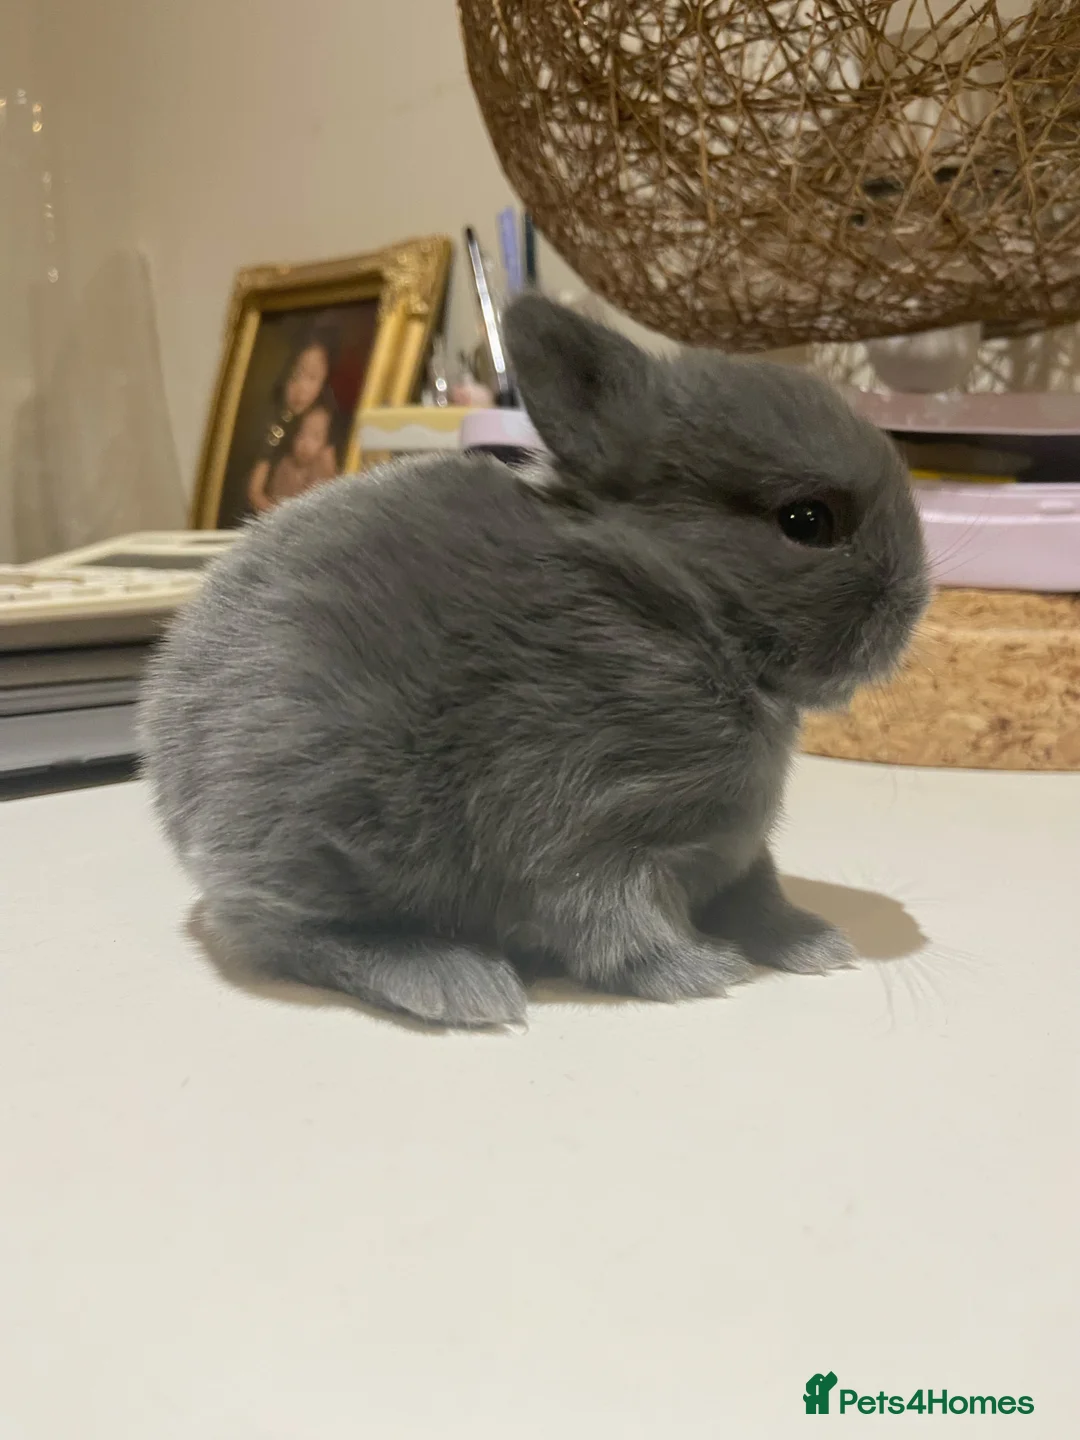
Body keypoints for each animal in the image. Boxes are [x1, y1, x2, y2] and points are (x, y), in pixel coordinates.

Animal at [139, 294, 929, 1027]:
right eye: (807, 522)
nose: (915, 601)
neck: (681, 609)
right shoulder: (585, 828)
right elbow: (612, 927)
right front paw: (702, 972)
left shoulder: (735, 850)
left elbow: (759, 896)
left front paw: (817, 943)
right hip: (323, 834)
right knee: (295, 938)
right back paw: (460, 983)